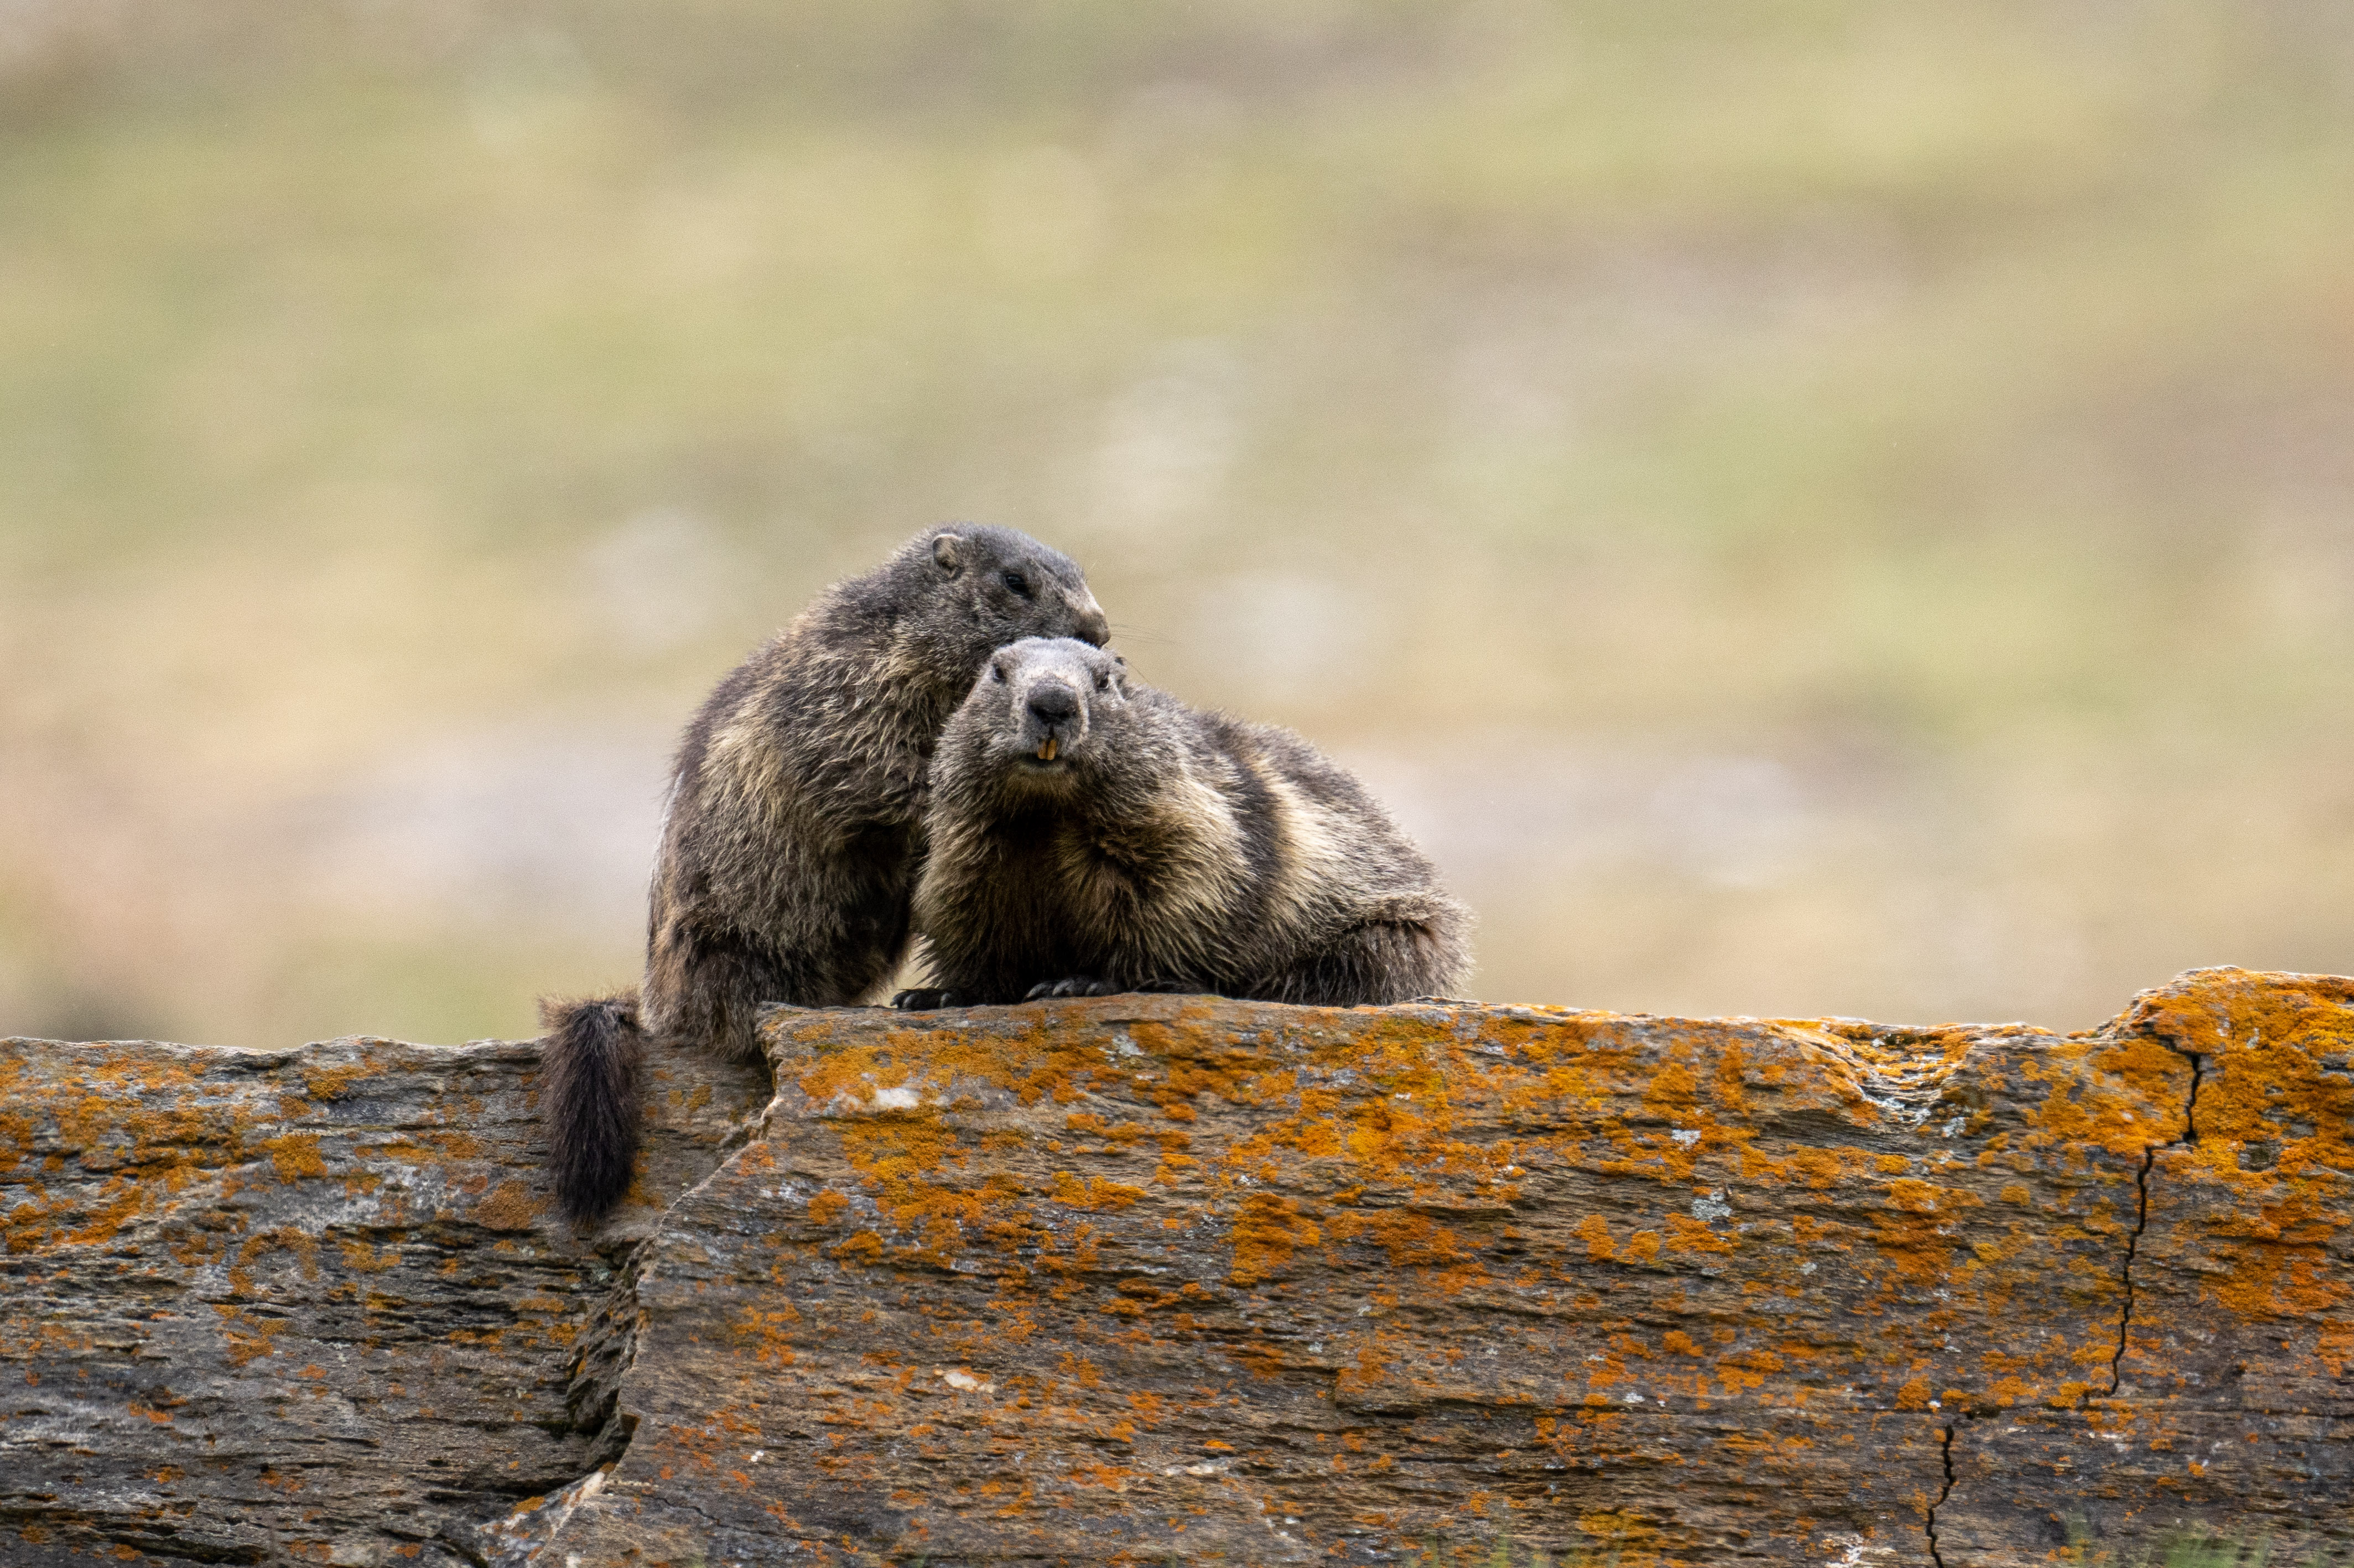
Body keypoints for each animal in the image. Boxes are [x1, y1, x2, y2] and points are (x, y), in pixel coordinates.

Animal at [893, 636, 1469, 1009]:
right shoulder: (969, 845)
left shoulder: (1180, 819)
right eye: (996, 672)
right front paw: (939, 992)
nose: (1053, 700)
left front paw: (1086, 981)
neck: (1049, 814)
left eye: (1106, 680)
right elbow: (967, 907)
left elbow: (1178, 892)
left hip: (1399, 933)